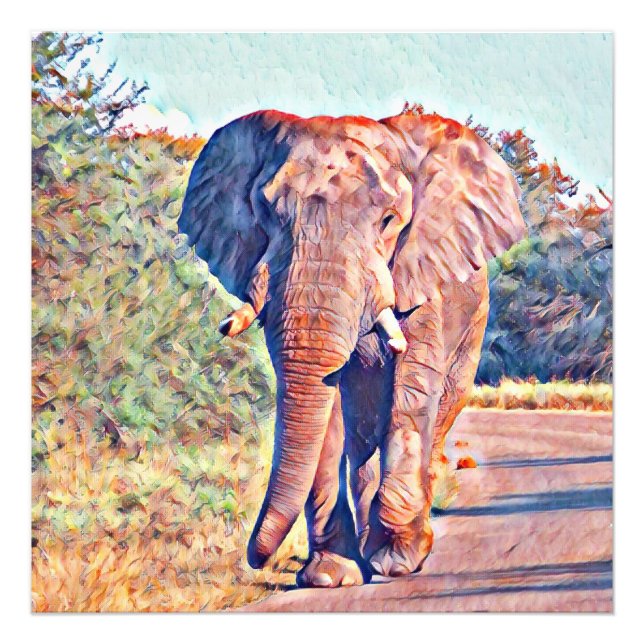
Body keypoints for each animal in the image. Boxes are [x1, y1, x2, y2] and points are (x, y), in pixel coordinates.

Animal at [178, 108, 525, 587]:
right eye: (265, 211)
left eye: (389, 220)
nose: (255, 559)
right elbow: (325, 412)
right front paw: (329, 577)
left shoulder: (421, 275)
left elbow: (410, 392)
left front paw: (396, 562)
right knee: (361, 442)